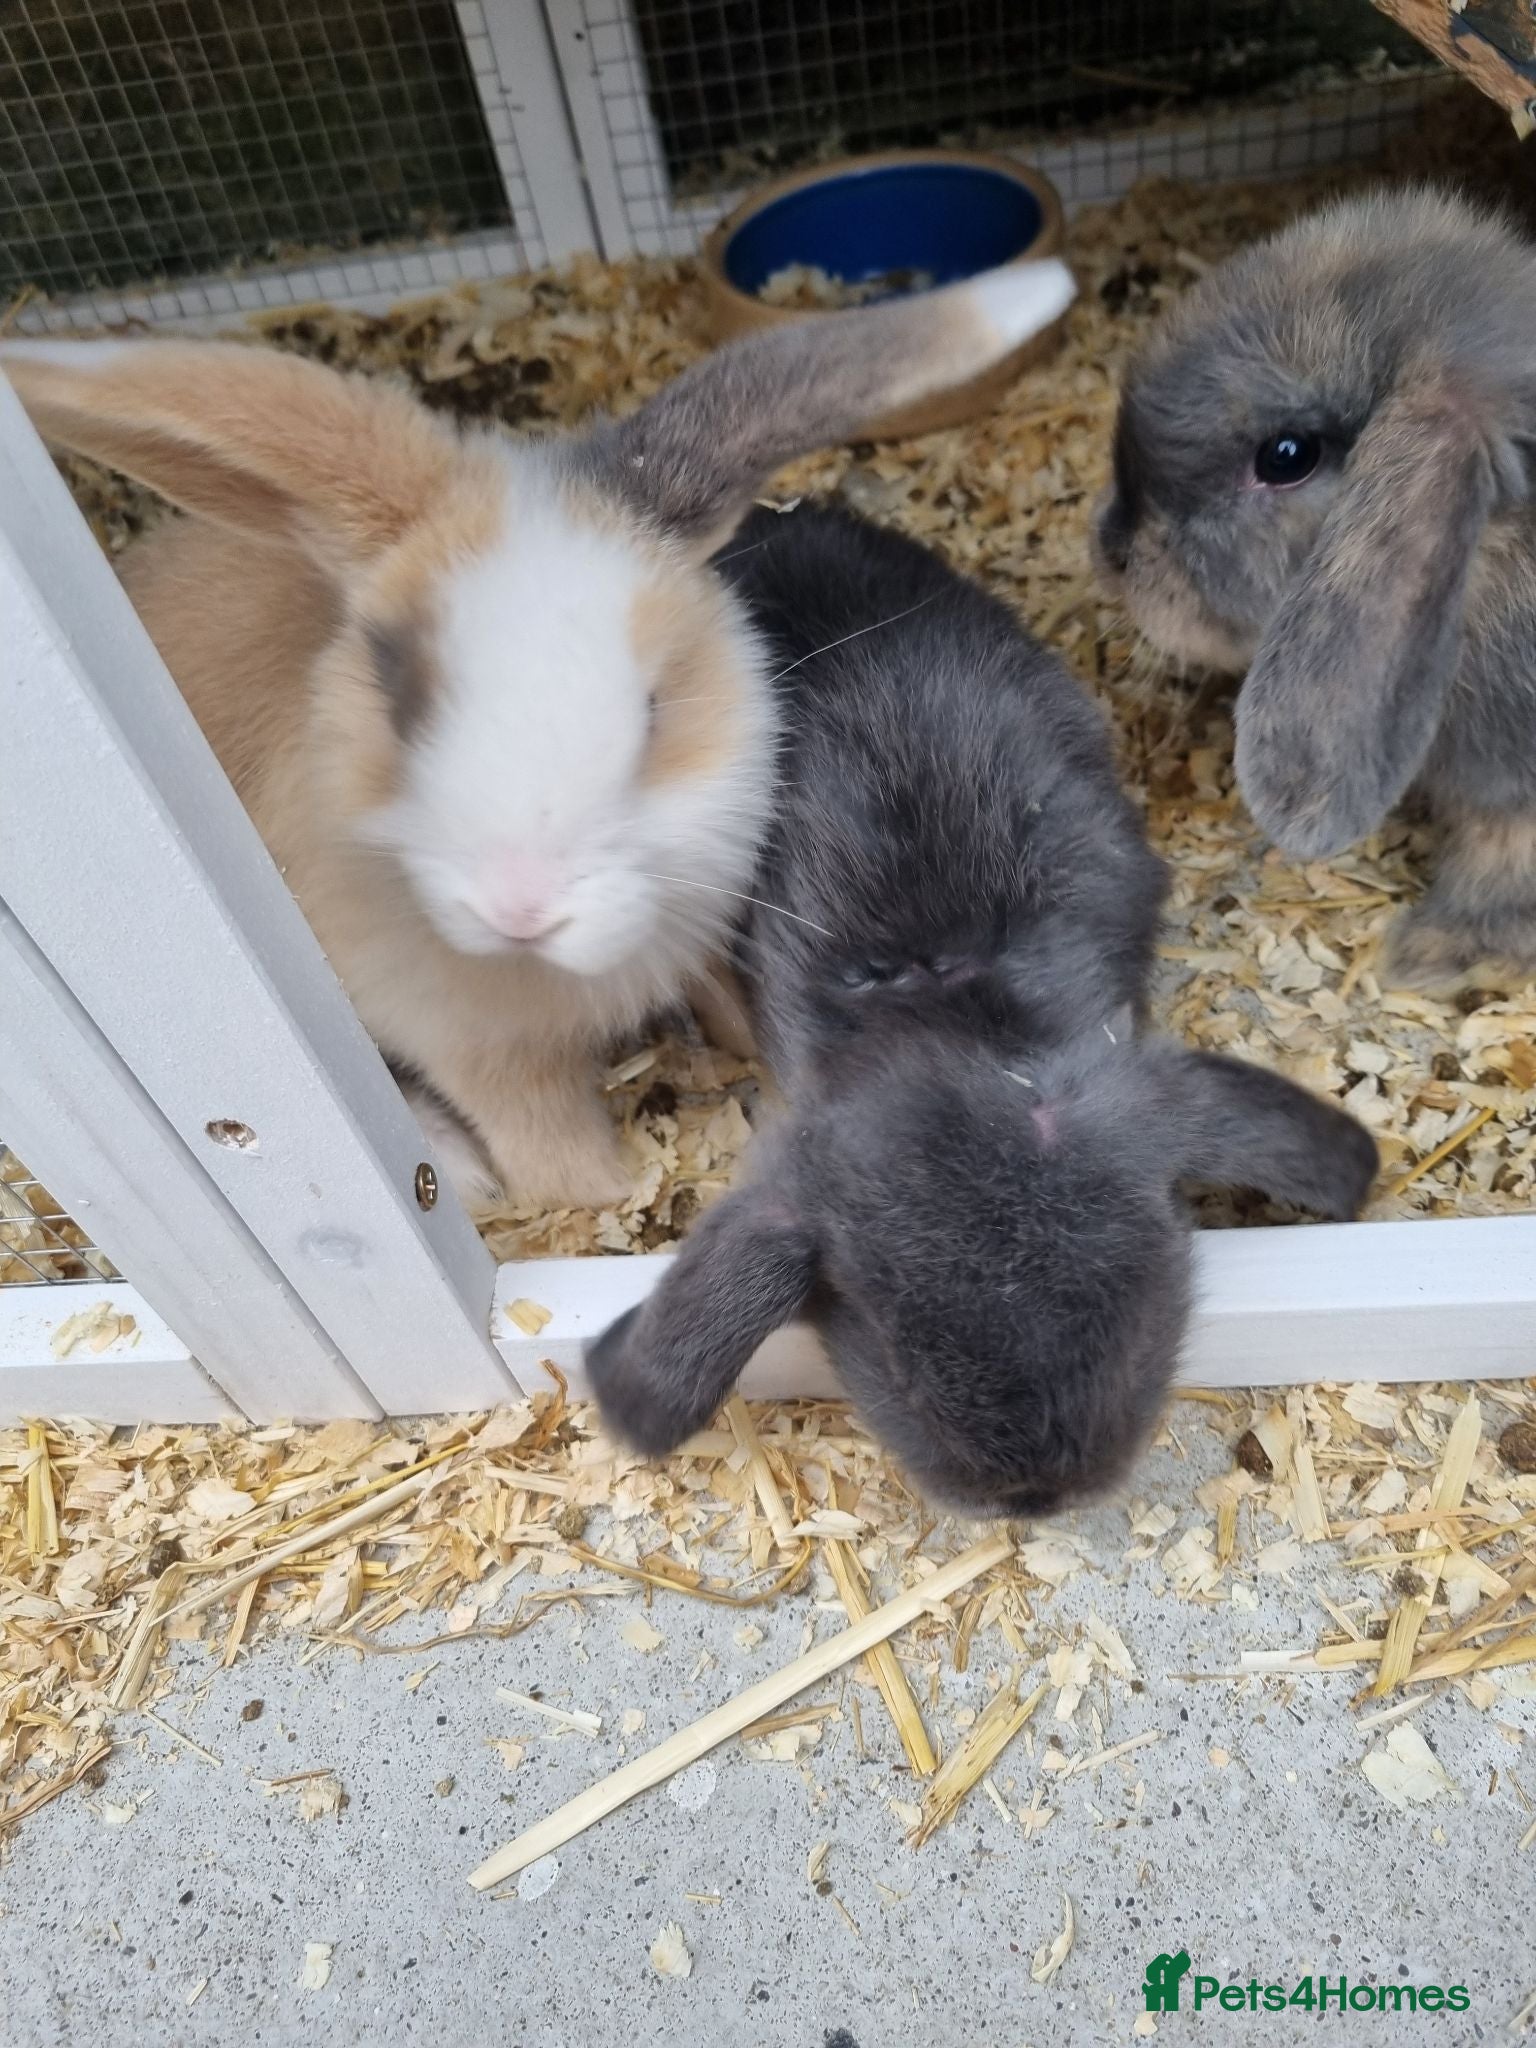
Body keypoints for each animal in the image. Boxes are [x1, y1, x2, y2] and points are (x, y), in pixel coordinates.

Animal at [0, 253, 1074, 1208]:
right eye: (403, 697)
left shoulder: (701, 927)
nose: (521, 908)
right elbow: (560, 1162)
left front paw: (751, 1067)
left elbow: (733, 1006)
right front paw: (612, 1196)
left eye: (653, 708)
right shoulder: (488, 1055)